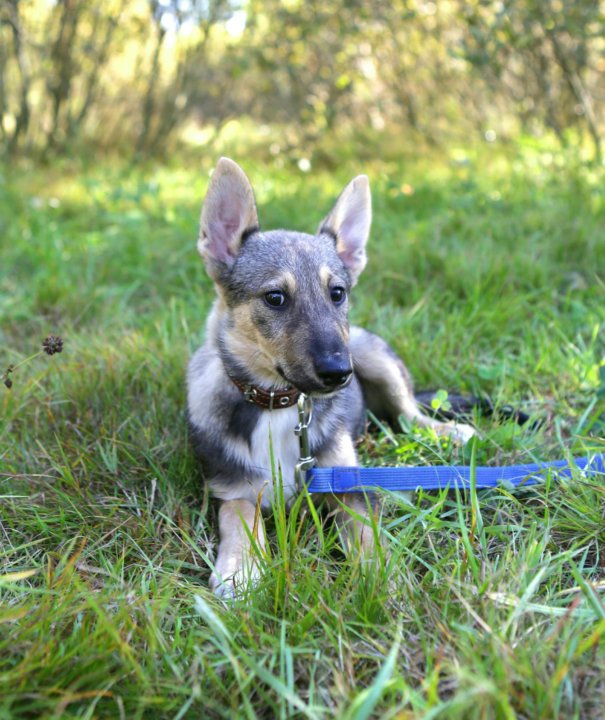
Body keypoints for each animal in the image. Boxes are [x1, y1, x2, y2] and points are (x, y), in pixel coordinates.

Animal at [186, 159, 474, 596]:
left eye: (337, 293)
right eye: (275, 298)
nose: (340, 374)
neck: (278, 405)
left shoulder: (346, 485)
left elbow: (367, 534)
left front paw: (384, 579)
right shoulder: (233, 488)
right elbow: (239, 520)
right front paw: (241, 569)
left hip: (373, 356)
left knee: (410, 415)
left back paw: (448, 432)